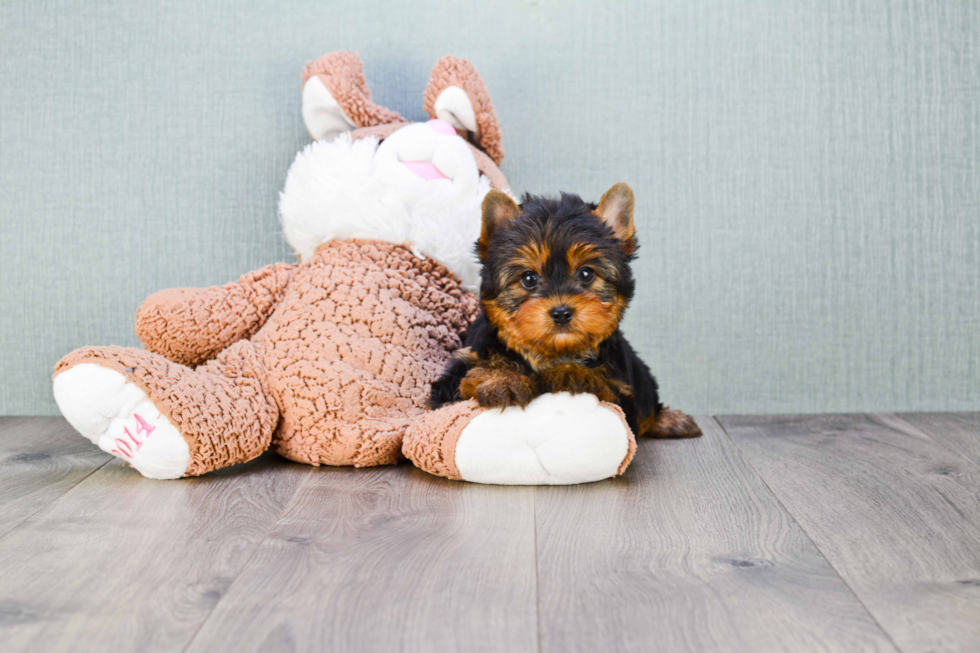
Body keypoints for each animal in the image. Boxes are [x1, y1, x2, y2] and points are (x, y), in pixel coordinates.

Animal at [432, 181, 700, 440]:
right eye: (528, 278)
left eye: (586, 274)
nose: (561, 312)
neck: (552, 353)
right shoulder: (454, 377)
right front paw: (501, 379)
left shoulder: (622, 392)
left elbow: (607, 388)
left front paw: (573, 372)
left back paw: (671, 420)